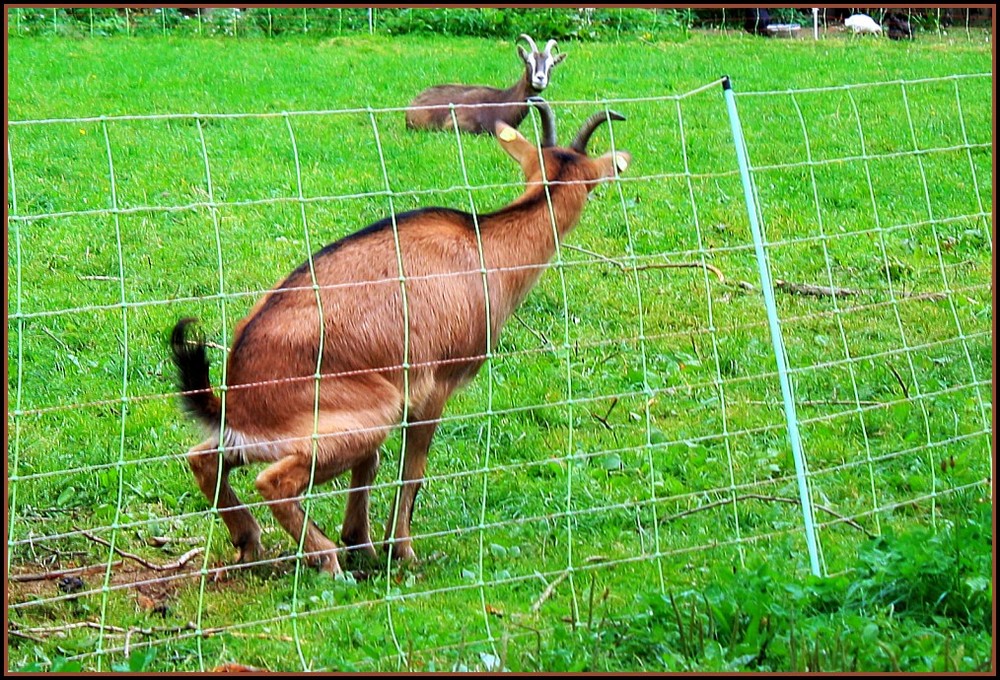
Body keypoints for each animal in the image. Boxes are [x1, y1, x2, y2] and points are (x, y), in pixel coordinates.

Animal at [170, 97, 624, 572]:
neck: (486, 248)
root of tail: (235, 398)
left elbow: (374, 470)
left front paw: (364, 543)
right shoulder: (433, 387)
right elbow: (413, 470)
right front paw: (401, 549)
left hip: (278, 435)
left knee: (204, 459)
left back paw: (251, 542)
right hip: (369, 414)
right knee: (274, 481)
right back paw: (326, 560)